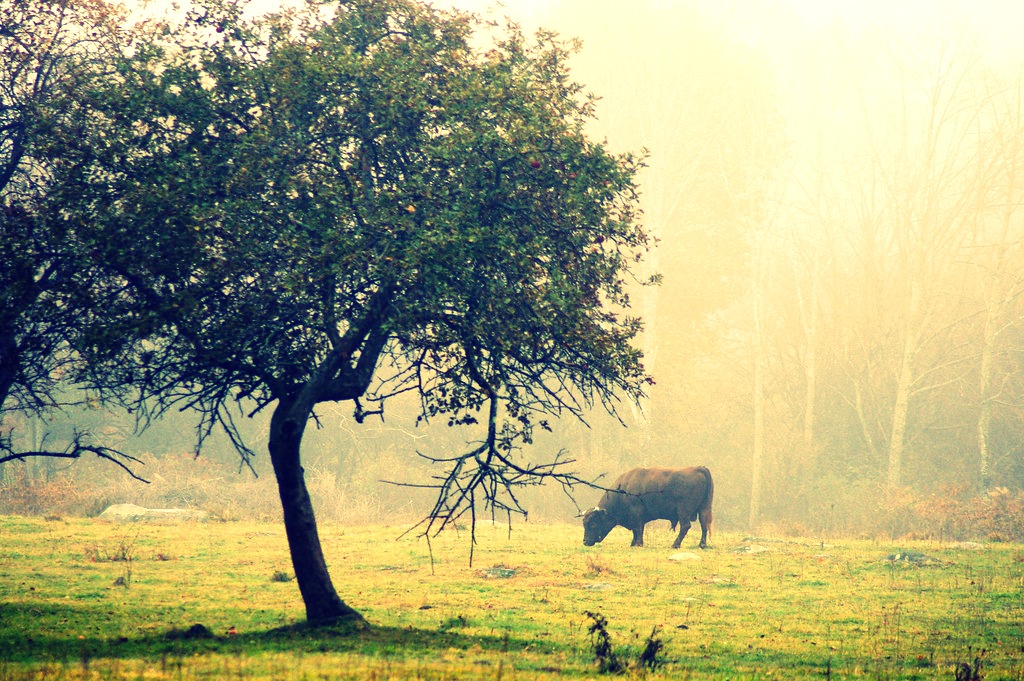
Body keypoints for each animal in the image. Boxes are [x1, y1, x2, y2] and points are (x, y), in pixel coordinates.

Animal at [581, 466, 716, 548]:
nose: (585, 542)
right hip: (704, 508)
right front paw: (633, 543)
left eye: (593, 523)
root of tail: (699, 468)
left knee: (685, 526)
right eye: (584, 523)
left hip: (684, 511)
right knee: (704, 525)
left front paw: (638, 544)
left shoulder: (636, 514)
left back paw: (675, 545)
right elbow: (636, 530)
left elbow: (638, 529)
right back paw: (702, 545)